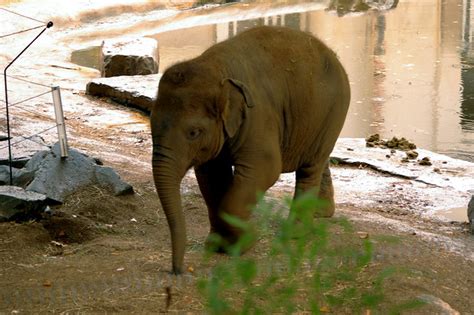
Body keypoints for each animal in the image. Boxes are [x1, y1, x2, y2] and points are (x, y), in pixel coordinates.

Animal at [150, 25, 350, 276]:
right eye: (151, 125)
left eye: (193, 133)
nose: (178, 270)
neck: (214, 68)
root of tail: (333, 54)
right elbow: (212, 177)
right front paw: (217, 245)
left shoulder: (257, 115)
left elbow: (265, 169)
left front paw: (246, 243)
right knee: (320, 159)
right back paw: (322, 213)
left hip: (332, 111)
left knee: (310, 168)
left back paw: (296, 233)